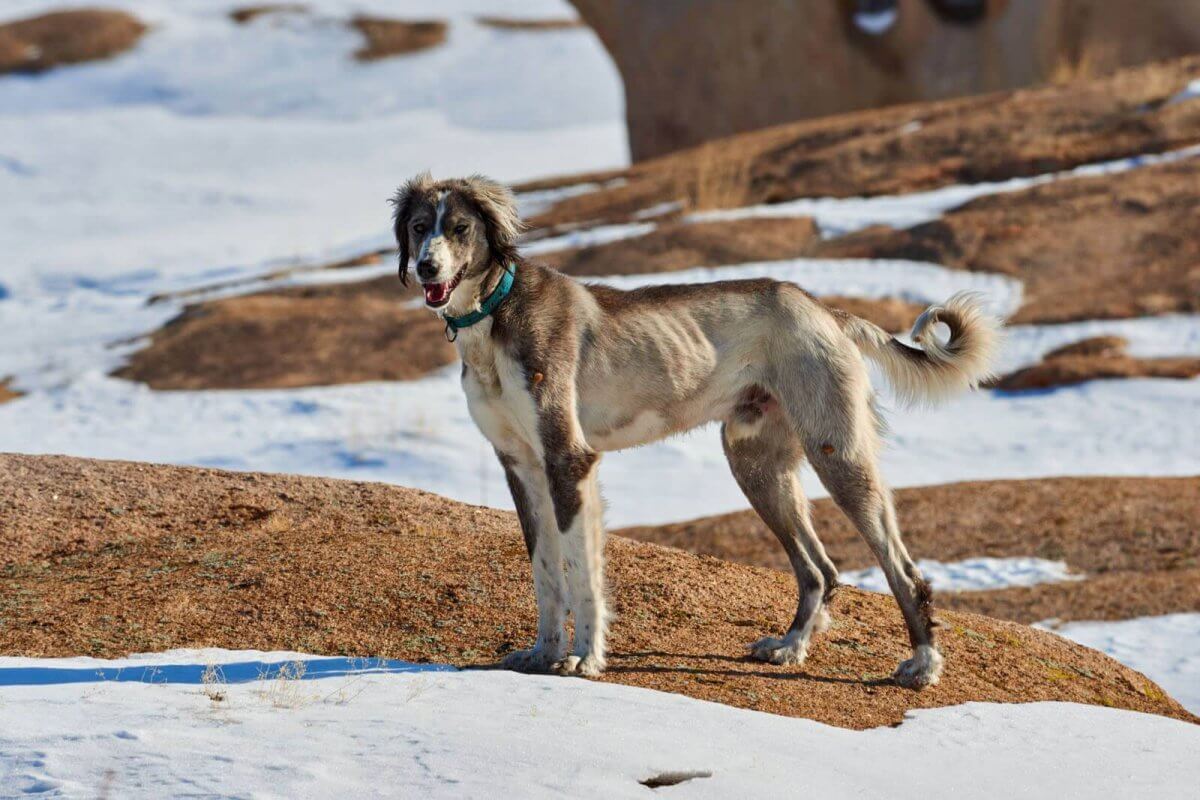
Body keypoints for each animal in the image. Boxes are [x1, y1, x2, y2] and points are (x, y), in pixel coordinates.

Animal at [393, 173, 1003, 690]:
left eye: (461, 228)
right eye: (420, 227)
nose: (426, 269)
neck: (496, 314)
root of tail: (824, 310)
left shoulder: (568, 460)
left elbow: (582, 573)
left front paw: (586, 659)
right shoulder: (522, 467)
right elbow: (548, 571)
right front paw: (544, 654)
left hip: (838, 454)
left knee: (902, 572)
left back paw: (923, 664)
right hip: (756, 465)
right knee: (820, 570)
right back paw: (791, 647)